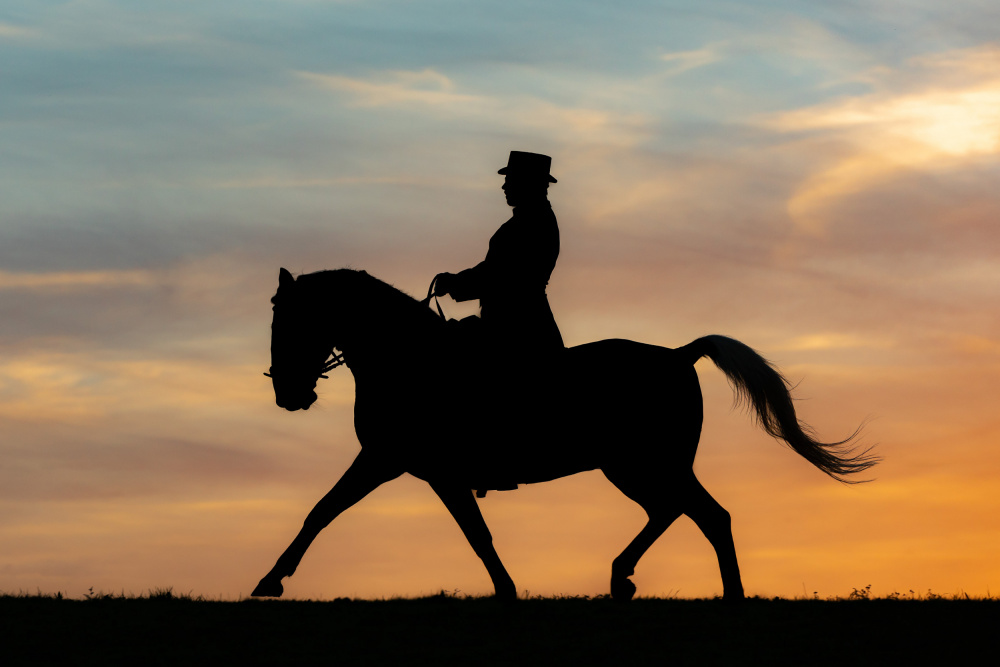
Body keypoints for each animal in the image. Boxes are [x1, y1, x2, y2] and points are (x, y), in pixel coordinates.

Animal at [252, 268, 876, 604]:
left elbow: (329, 511)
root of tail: (679, 354)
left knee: (703, 514)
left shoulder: (393, 460)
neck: (409, 360)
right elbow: (467, 534)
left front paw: (269, 581)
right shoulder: (411, 466)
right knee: (680, 511)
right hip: (635, 467)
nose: (287, 393)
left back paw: (717, 592)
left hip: (647, 463)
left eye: (290, 319)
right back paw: (631, 578)